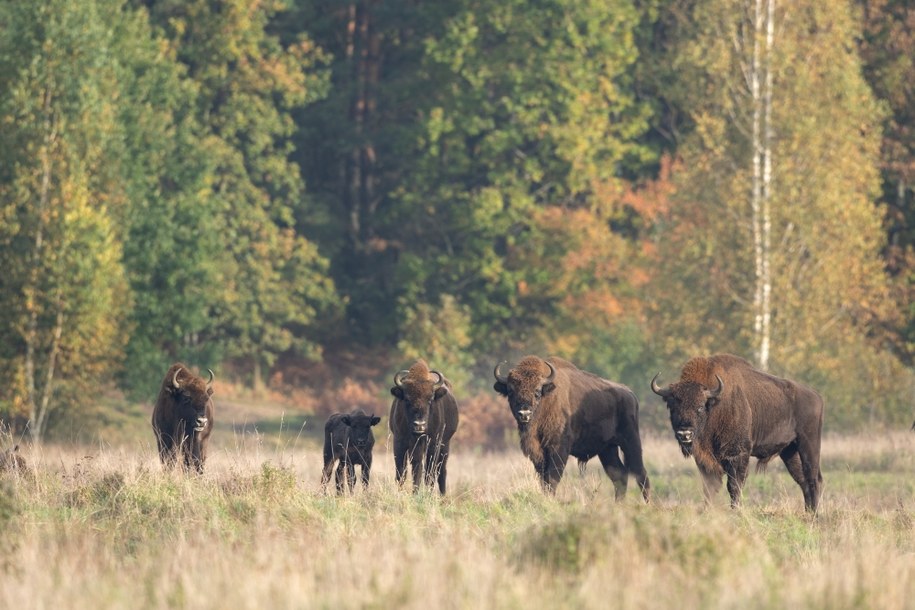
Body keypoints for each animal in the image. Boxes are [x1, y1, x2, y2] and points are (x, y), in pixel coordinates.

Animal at [388, 356, 458, 494]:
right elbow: (403, 472)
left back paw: (442, 495)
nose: (419, 425)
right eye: (407, 399)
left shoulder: (433, 444)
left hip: (445, 445)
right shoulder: (399, 442)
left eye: (430, 399)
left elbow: (428, 473)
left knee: (441, 471)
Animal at [494, 352, 652, 498]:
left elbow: (552, 479)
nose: (524, 413)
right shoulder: (538, 453)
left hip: (631, 442)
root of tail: (630, 394)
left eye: (537, 392)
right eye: (510, 391)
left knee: (640, 473)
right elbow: (543, 480)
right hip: (607, 449)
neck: (546, 400)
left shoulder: (558, 448)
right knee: (619, 476)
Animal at [652, 352, 832, 512]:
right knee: (802, 479)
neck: (716, 405)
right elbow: (710, 486)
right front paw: (707, 510)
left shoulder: (738, 455)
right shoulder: (704, 460)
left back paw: (815, 515)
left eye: (700, 407)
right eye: (673, 407)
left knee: (813, 478)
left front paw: (736, 510)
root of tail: (817, 396)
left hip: (809, 444)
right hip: (790, 451)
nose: (685, 434)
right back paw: (808, 513)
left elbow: (734, 485)